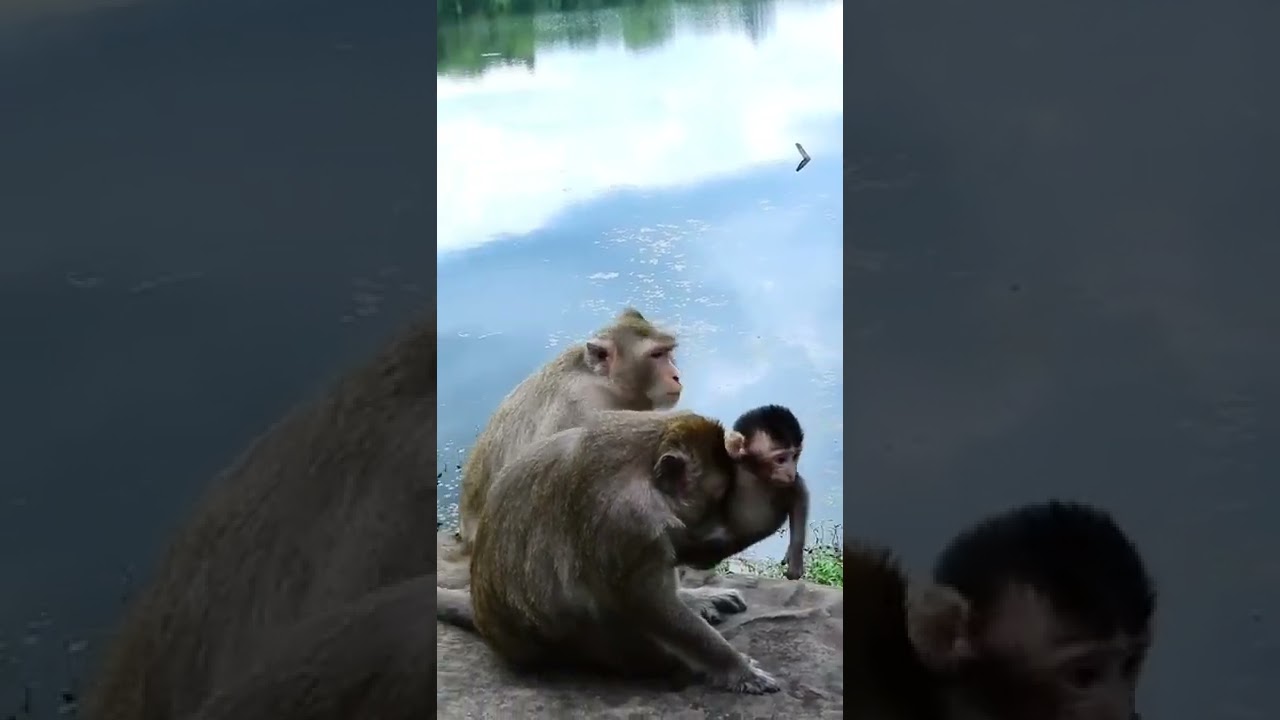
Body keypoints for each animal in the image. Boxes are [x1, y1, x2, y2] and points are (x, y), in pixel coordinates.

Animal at [437, 409, 783, 695]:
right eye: (716, 499)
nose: (719, 545)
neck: (643, 469)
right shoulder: (626, 521)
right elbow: (645, 603)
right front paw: (734, 666)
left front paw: (693, 597)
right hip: (585, 647)